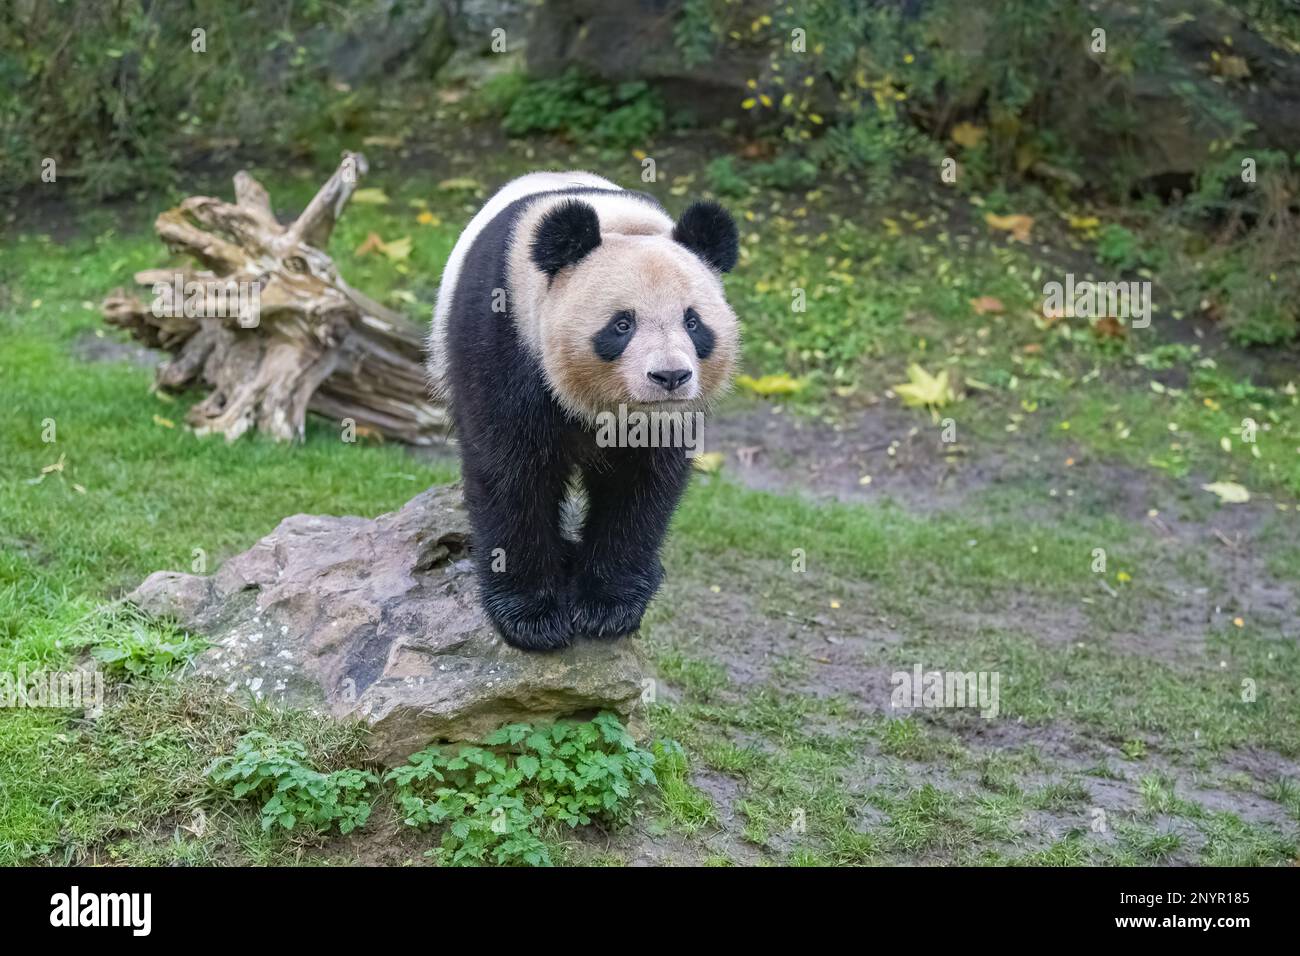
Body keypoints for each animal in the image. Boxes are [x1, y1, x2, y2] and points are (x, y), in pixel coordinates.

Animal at [428, 170, 743, 650]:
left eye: (693, 322)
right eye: (622, 324)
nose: (670, 376)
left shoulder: (667, 420)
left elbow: (642, 485)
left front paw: (606, 606)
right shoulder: (503, 337)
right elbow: (510, 472)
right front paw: (533, 618)